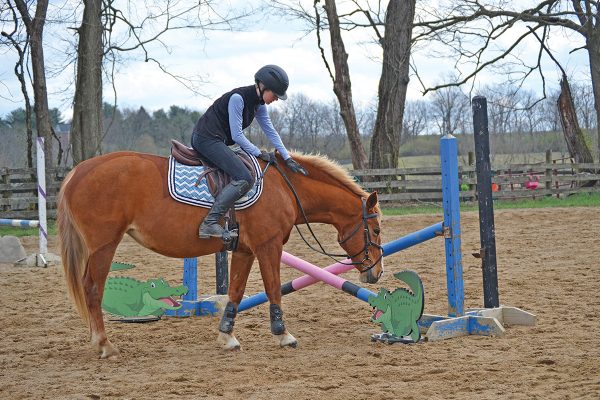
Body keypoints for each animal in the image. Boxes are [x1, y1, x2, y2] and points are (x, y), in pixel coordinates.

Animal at [58, 152, 382, 358]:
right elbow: (273, 288)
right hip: (103, 246)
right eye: (377, 229)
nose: (376, 273)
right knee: (93, 288)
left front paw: (227, 337)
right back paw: (104, 345)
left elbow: (235, 293)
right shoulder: (268, 246)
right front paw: (283, 334)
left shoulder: (245, 251)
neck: (284, 188)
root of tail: (78, 171)